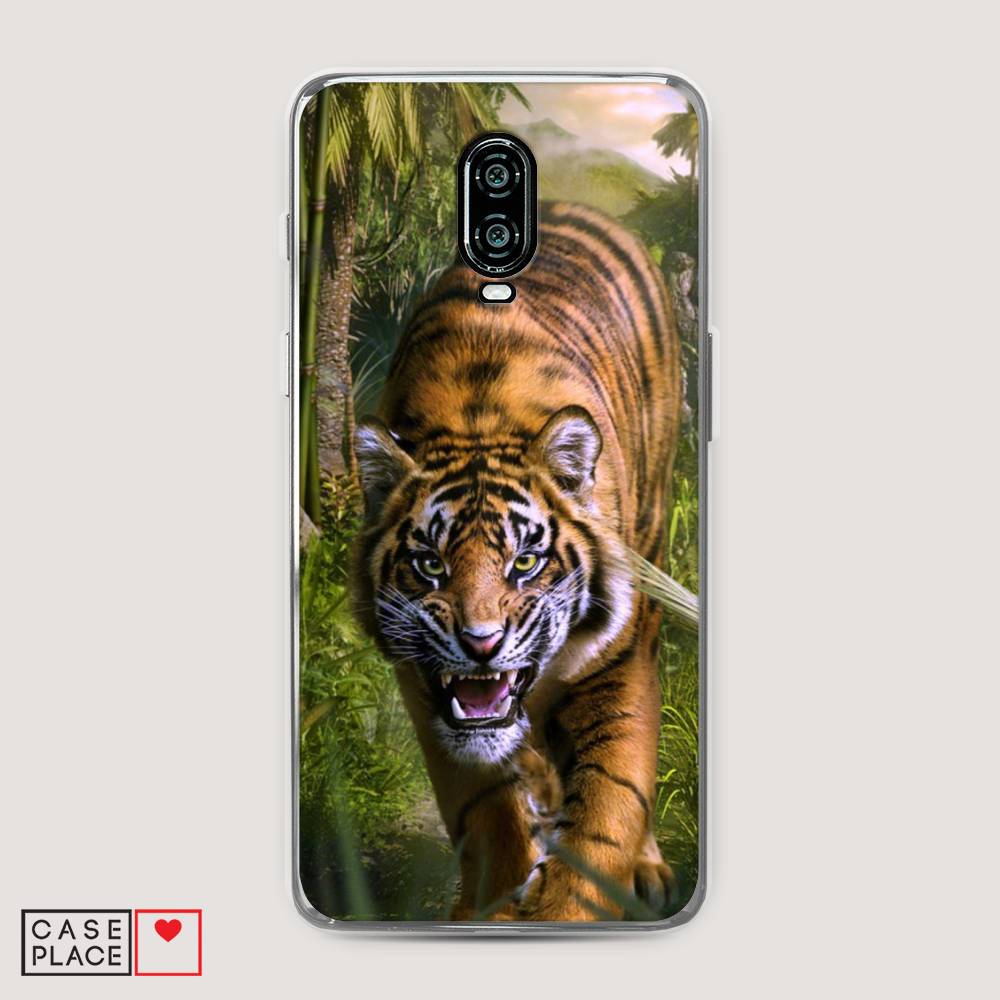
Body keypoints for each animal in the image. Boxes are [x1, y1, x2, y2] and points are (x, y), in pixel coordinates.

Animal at [352, 201, 683, 921]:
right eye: (430, 565)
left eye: (526, 562)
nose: (481, 644)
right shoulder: (426, 689)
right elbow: (490, 802)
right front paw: (497, 901)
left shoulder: (619, 668)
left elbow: (609, 808)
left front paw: (568, 906)